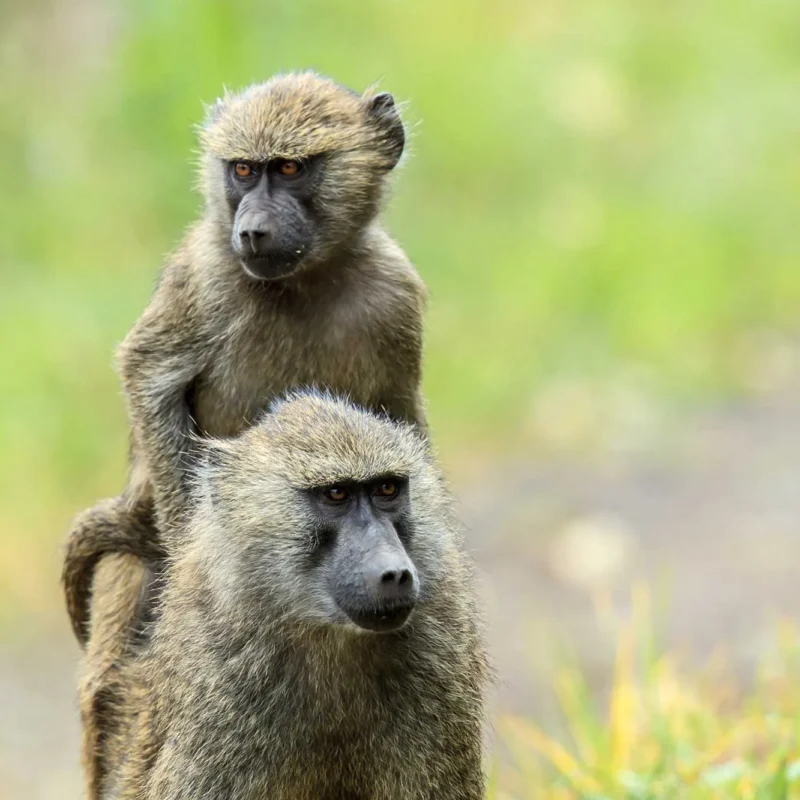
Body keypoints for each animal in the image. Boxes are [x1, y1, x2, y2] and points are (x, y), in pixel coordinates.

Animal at [62, 71, 429, 798]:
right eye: (241, 170)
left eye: (288, 169)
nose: (252, 231)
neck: (307, 279)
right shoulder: (204, 274)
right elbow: (148, 375)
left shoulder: (395, 296)